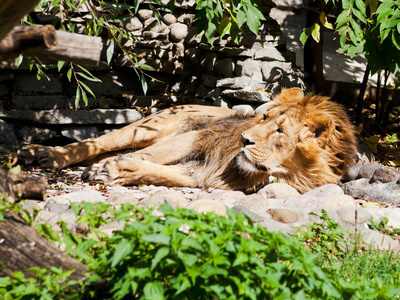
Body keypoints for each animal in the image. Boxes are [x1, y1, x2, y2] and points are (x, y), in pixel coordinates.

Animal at [17, 88, 358, 193]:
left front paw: (119, 171)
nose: (245, 139)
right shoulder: (199, 138)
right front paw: (113, 167)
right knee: (95, 144)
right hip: (149, 128)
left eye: (280, 132)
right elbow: (153, 157)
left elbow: (159, 172)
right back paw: (43, 154)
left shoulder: (205, 174)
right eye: (264, 118)